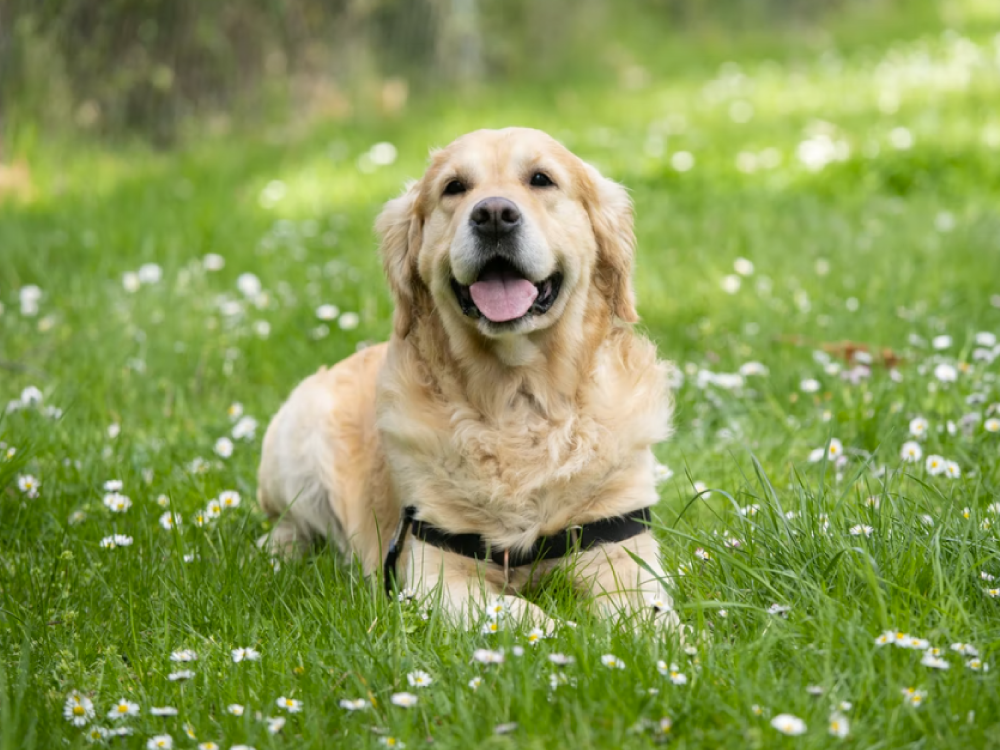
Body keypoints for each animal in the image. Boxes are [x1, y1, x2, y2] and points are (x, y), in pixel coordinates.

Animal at [258, 129, 680, 636]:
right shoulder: (436, 573)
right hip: (295, 439)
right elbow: (524, 615)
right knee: (287, 523)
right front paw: (573, 638)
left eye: (542, 179)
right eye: (454, 187)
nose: (493, 214)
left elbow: (650, 616)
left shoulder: (620, 548)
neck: (518, 400)